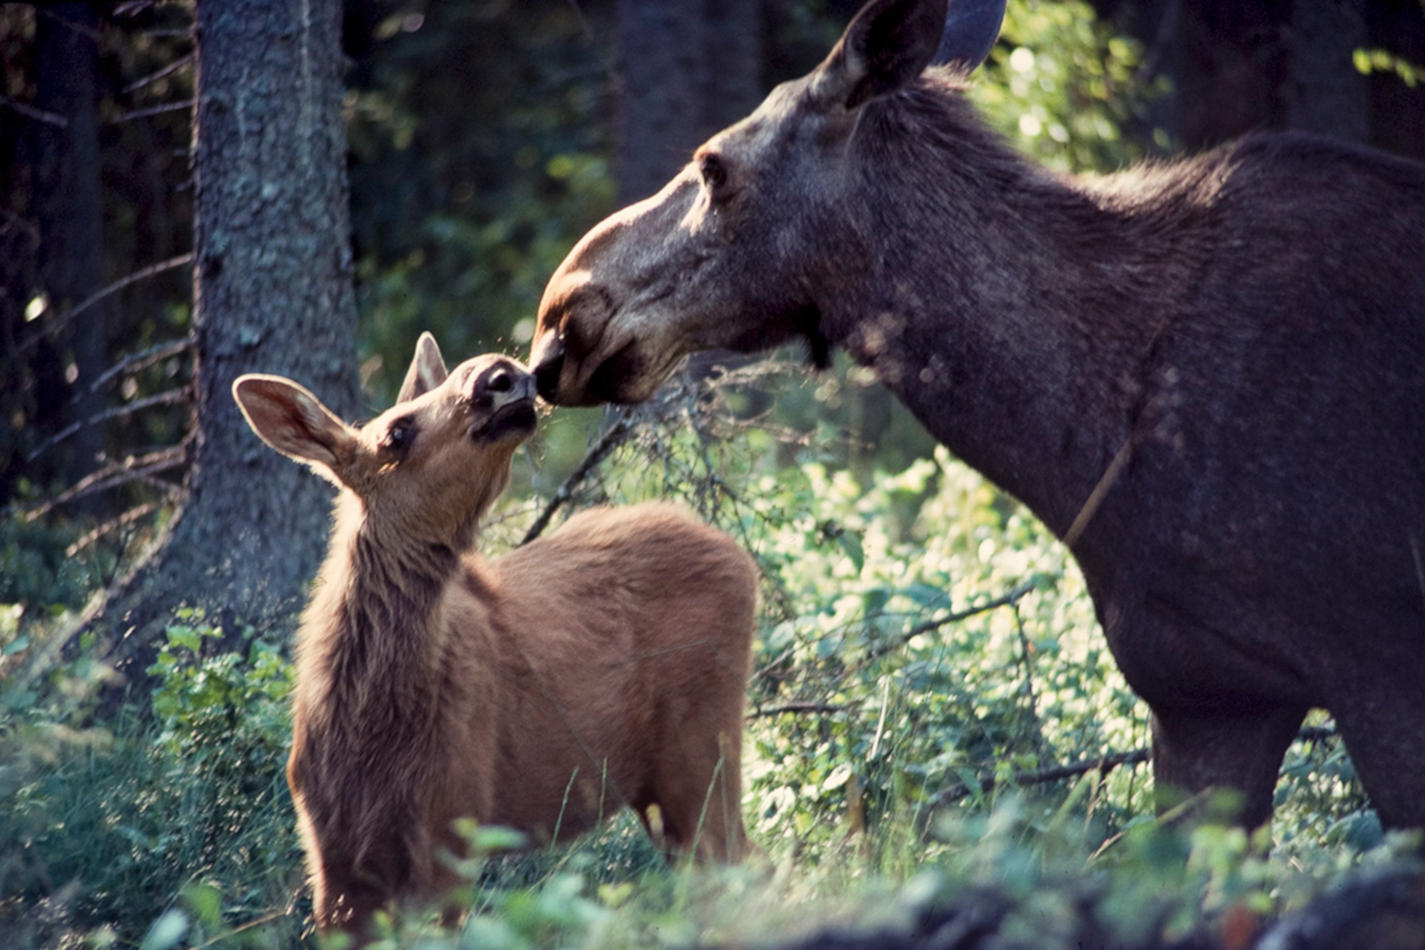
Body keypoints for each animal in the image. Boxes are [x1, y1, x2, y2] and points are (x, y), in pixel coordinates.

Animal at [233, 336, 758, 934]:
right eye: (396, 433)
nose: (500, 373)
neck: (369, 730)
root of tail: (738, 555)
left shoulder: (452, 829)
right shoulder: (332, 859)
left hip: (702, 749)